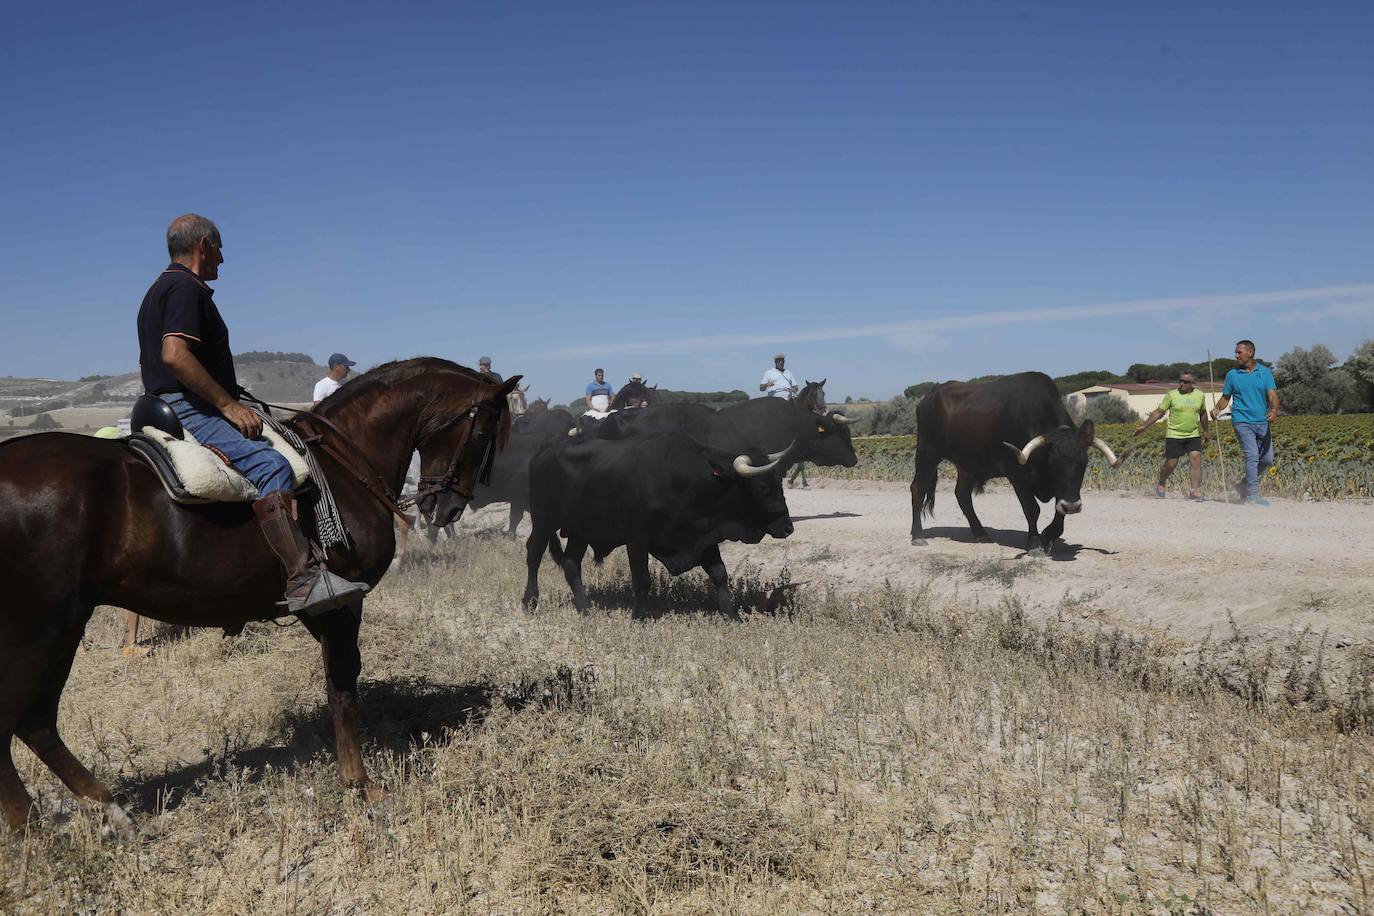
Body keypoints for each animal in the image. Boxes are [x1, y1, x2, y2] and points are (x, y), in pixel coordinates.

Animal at [0, 362, 519, 834]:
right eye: (482, 433)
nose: (447, 508)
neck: (343, 462)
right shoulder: (343, 603)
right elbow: (342, 685)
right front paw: (361, 784)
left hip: (65, 627)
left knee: (37, 723)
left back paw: (108, 812)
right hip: (38, 631)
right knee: (15, 720)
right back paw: (32, 832)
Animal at [522, 433, 796, 620]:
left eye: (779, 482)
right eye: (762, 486)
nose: (788, 528)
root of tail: (544, 452)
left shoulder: (703, 537)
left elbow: (720, 575)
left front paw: (732, 616)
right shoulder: (637, 540)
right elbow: (642, 580)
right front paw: (639, 617)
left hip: (580, 531)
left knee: (571, 565)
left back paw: (585, 608)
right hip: (543, 521)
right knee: (534, 555)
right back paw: (530, 602)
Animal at [906, 370, 1121, 552]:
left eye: (1084, 463)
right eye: (1053, 463)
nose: (1073, 507)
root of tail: (929, 396)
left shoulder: (1063, 490)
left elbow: (1059, 513)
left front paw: (1048, 535)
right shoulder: (1016, 473)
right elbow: (1032, 509)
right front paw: (1034, 542)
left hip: (966, 464)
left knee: (962, 495)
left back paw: (980, 532)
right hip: (926, 454)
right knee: (918, 489)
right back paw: (917, 535)